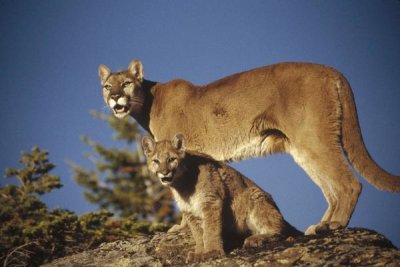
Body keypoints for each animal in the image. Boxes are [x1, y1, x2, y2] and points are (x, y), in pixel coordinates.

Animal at [97, 60, 400, 234]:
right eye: (107, 86)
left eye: (126, 83)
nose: (114, 98)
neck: (148, 102)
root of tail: (333, 71)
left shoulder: (182, 155)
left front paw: (180, 228)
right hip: (303, 149)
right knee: (332, 189)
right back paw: (321, 225)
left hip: (314, 138)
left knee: (349, 184)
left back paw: (335, 224)